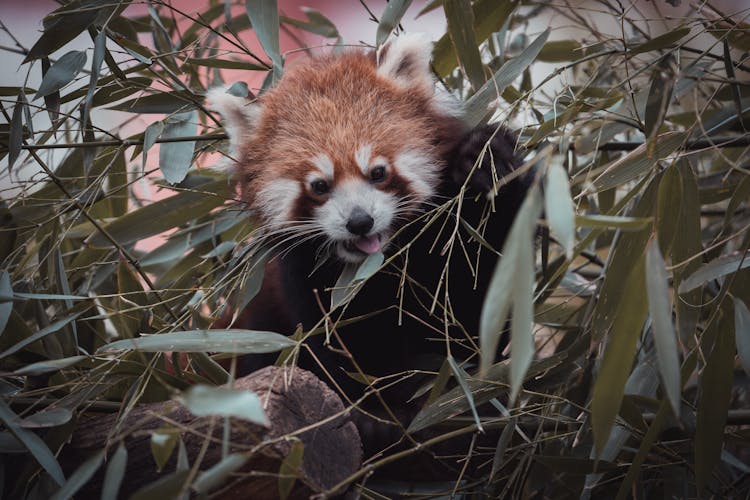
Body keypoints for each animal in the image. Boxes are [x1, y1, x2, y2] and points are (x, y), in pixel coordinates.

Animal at [209, 34, 532, 464]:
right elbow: (336, 347)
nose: (360, 221)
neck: (381, 269)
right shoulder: (303, 284)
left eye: (378, 172)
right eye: (319, 186)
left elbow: (478, 311)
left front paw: (486, 161)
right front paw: (375, 415)